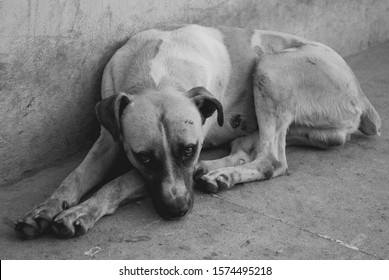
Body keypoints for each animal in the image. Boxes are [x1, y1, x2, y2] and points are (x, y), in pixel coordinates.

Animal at [14, 24, 378, 238]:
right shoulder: (108, 141)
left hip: (269, 68)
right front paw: (46, 207)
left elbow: (118, 182)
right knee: (248, 149)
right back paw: (215, 171)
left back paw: (223, 174)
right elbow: (73, 178)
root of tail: (362, 95)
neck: (156, 75)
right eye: (144, 157)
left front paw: (83, 211)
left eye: (189, 149)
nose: (177, 210)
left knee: (272, 160)